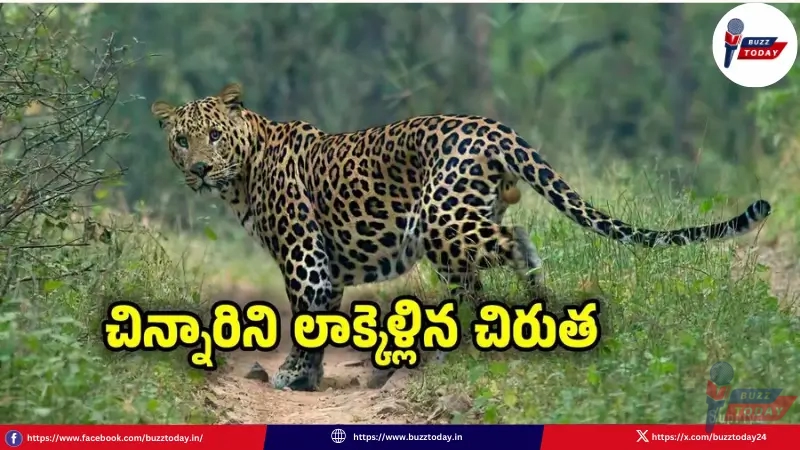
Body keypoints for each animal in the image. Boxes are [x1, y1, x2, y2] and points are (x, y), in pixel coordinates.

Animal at [150, 83, 771, 392]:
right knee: (476, 285)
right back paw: (469, 342)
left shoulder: (304, 255)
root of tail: (494, 127)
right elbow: (322, 318)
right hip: (451, 233)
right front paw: (311, 376)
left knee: (517, 240)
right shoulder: (324, 264)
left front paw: (293, 374)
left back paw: (534, 309)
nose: (198, 169)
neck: (243, 172)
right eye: (181, 140)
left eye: (212, 136)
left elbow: (306, 314)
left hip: (440, 218)